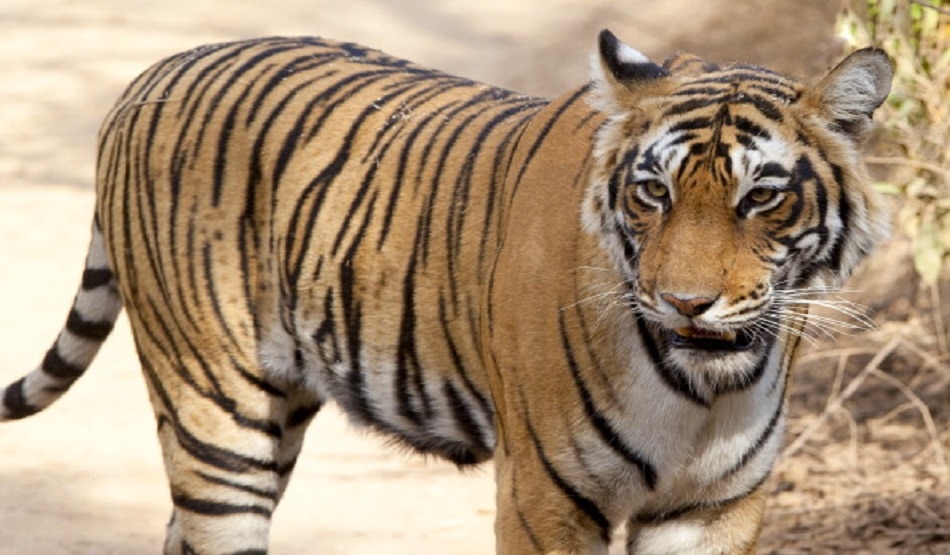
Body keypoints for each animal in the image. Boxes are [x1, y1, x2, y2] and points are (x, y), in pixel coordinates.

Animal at [1, 29, 891, 554]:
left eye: (761, 199)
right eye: (654, 193)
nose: (685, 303)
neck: (702, 390)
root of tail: (154, 71)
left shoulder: (714, 506)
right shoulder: (544, 495)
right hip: (215, 412)